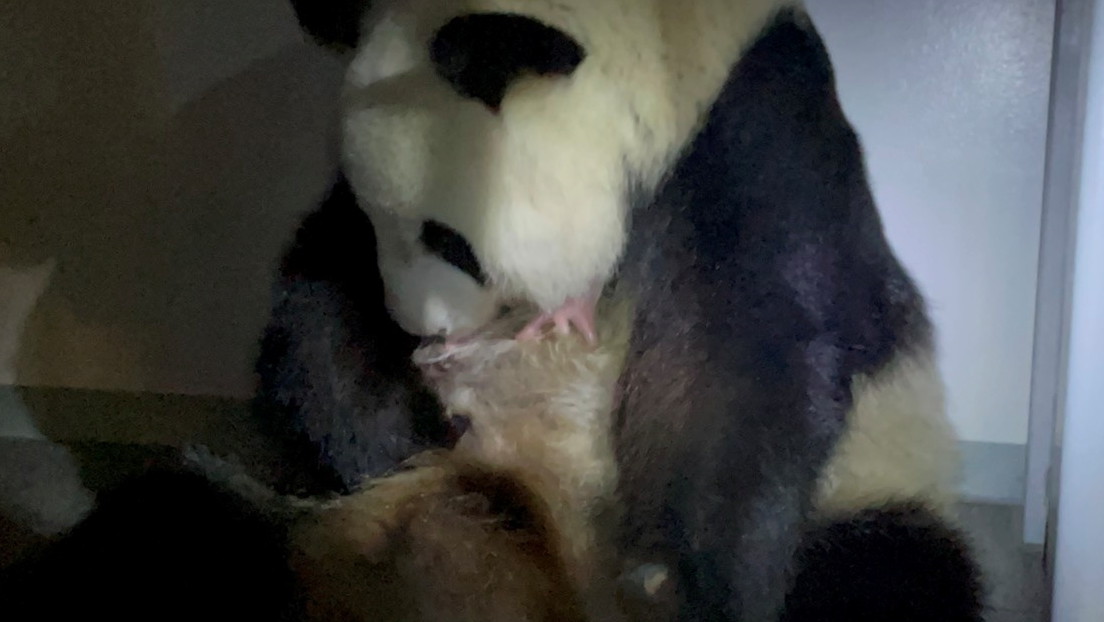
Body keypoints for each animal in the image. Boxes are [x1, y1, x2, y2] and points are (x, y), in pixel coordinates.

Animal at [257, 0, 986, 619]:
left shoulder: (755, 133)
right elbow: (318, 293)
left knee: (890, 570)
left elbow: (748, 351)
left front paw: (683, 583)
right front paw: (392, 432)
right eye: (376, 221)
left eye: (448, 240)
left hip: (877, 480)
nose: (420, 328)